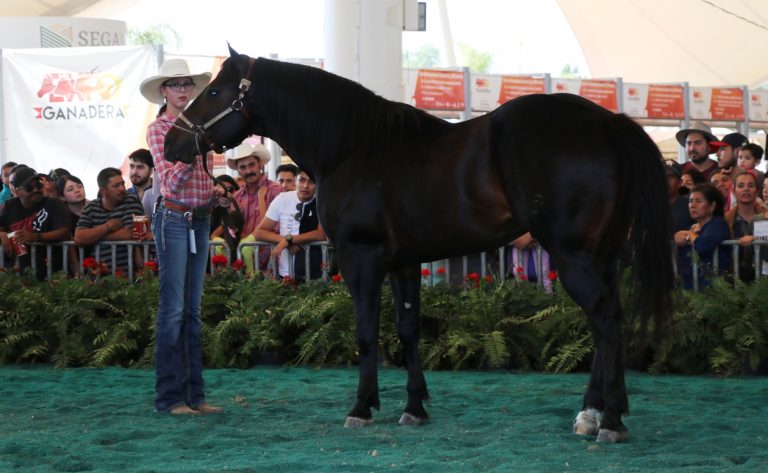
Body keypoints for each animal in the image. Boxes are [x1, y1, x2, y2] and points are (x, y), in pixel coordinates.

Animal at [164, 46, 674, 443]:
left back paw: (611, 420)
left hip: (574, 255)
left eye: (214, 92)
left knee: (606, 320)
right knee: (604, 322)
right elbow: (408, 329)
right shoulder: (404, 263)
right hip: (601, 255)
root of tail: (610, 122)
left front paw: (361, 408)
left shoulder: (361, 256)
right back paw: (589, 414)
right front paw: (414, 408)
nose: (171, 143)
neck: (354, 146)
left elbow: (367, 331)